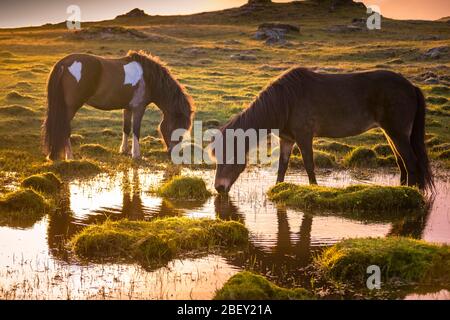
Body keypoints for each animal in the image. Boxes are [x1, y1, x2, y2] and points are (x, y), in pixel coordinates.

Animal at [42, 50, 195, 160]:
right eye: (178, 128)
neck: (148, 78)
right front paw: (136, 154)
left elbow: (126, 128)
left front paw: (124, 151)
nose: (174, 154)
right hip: (70, 108)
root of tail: (63, 64)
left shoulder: (127, 108)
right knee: (65, 128)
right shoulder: (139, 108)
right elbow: (136, 130)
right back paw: (70, 157)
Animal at [215, 67, 436, 192]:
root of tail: (411, 87)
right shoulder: (287, 139)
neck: (287, 101)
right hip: (391, 133)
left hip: (397, 133)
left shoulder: (304, 136)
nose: (218, 188)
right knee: (401, 162)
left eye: (229, 156)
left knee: (411, 162)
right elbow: (282, 166)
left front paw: (314, 190)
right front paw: (278, 189)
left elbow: (309, 164)